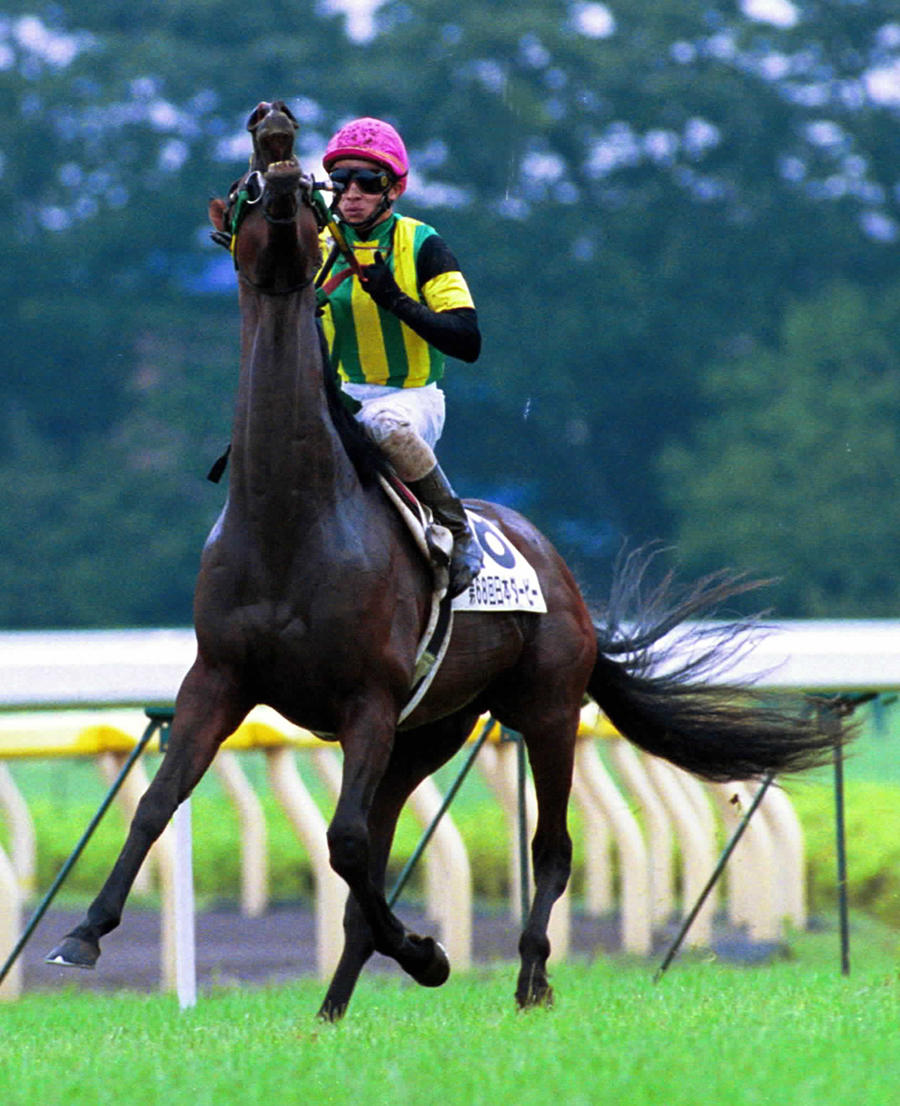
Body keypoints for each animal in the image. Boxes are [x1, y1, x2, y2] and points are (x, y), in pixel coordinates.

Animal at [47, 101, 845, 1019]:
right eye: (250, 185)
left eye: (314, 192)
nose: (274, 124)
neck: (288, 517)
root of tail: (563, 570)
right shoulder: (220, 676)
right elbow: (160, 804)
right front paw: (82, 934)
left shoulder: (366, 695)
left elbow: (347, 845)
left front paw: (428, 955)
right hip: (429, 729)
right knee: (383, 848)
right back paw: (330, 1010)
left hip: (544, 707)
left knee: (551, 846)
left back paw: (531, 979)